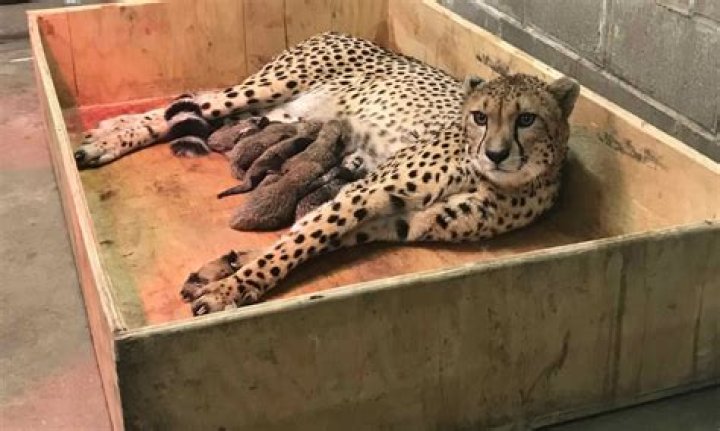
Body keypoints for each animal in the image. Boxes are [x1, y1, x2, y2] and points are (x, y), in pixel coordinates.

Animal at [72, 32, 579, 315]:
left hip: (279, 113)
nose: (496, 153)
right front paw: (233, 288)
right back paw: (105, 139)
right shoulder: (364, 193)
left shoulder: (399, 221)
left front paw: (223, 273)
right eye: (479, 117)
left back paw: (111, 129)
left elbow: (308, 237)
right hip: (269, 87)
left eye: (527, 119)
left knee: (191, 107)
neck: (498, 180)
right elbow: (298, 241)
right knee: (190, 105)